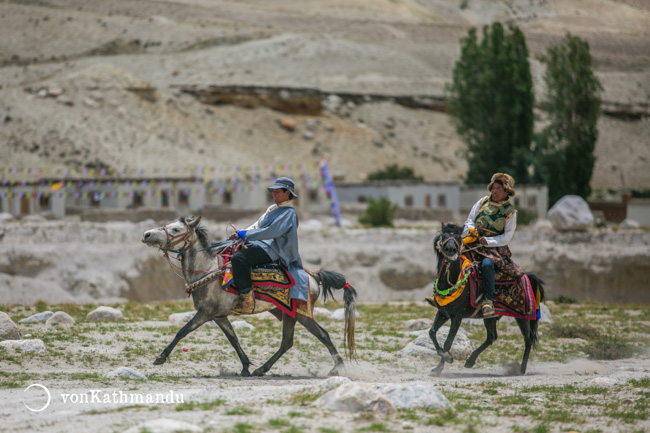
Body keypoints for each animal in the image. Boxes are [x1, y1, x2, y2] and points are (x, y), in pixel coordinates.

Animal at [140, 216, 360, 374]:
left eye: (176, 229)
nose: (147, 234)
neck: (207, 269)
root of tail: (313, 276)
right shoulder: (219, 316)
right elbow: (233, 339)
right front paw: (245, 367)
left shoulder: (204, 313)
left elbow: (182, 331)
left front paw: (160, 357)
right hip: (289, 314)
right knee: (287, 342)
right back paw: (261, 369)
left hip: (301, 314)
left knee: (322, 335)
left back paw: (337, 367)